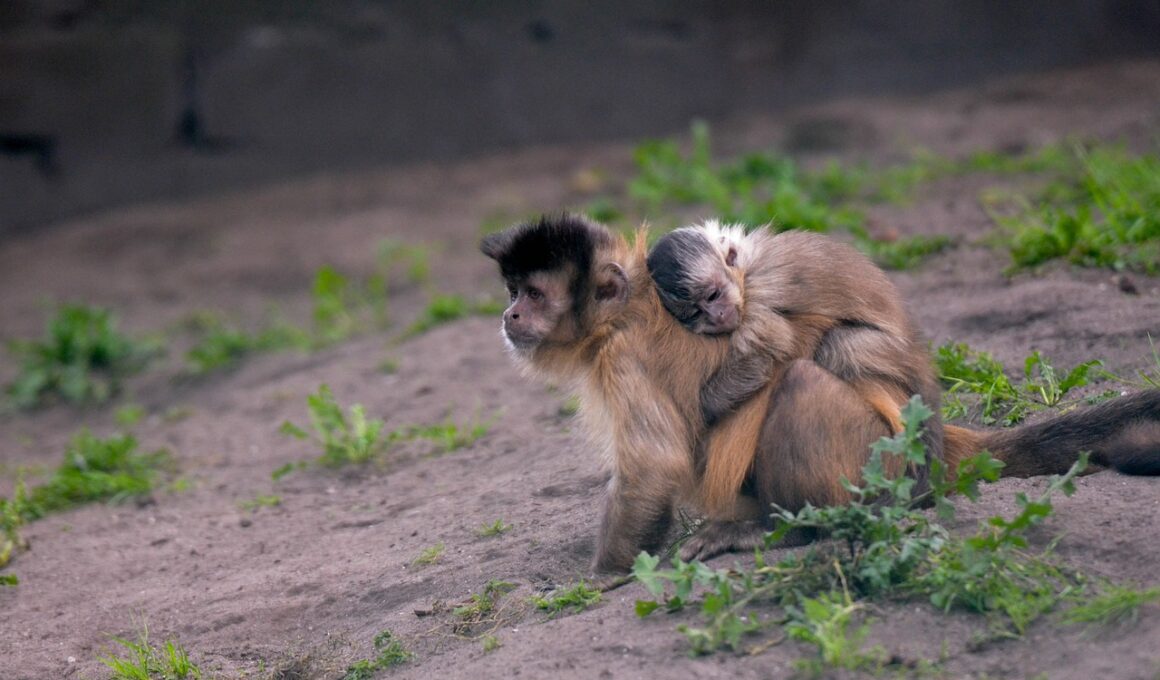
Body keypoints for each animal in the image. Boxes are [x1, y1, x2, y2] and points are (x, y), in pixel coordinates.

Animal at [481, 213, 1160, 573]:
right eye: (513, 292)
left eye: (533, 295)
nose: (510, 317)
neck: (618, 316)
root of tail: (936, 443)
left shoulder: (623, 360)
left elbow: (655, 464)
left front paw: (607, 576)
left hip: (885, 456)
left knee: (803, 378)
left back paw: (799, 530)